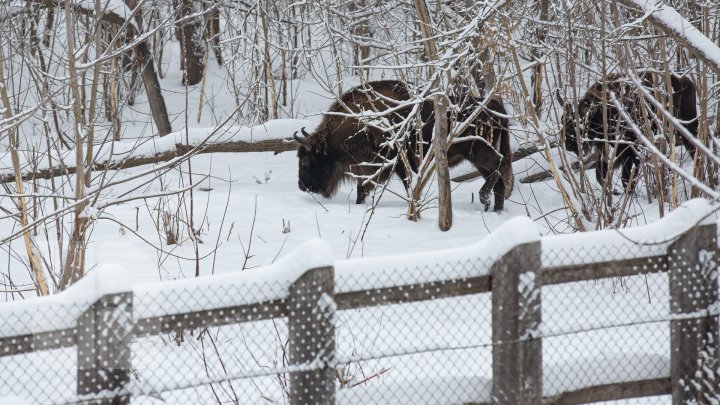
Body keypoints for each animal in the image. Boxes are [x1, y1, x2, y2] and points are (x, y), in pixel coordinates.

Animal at [292, 79, 512, 211]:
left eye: (305, 161)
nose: (302, 186)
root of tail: (496, 107)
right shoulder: (371, 171)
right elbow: (362, 190)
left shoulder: (396, 164)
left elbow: (407, 185)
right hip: (478, 160)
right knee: (499, 179)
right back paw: (494, 209)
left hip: (480, 152)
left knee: (499, 165)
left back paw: (484, 198)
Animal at [556, 72, 696, 192]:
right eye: (562, 121)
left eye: (576, 124)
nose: (566, 144)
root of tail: (685, 81)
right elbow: (600, 175)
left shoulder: (631, 153)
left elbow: (626, 179)